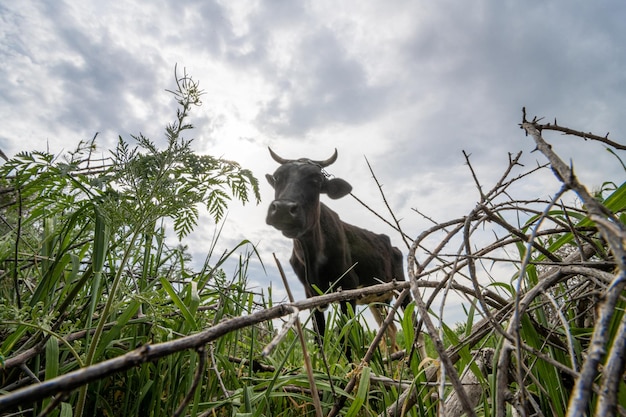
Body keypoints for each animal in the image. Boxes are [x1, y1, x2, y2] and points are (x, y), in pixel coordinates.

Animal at [264, 146, 408, 354]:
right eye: (277, 177)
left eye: (316, 180)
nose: (283, 208)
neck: (312, 255)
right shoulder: (310, 294)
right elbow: (319, 337)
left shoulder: (348, 287)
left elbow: (345, 338)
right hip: (376, 301)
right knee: (389, 329)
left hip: (403, 288)